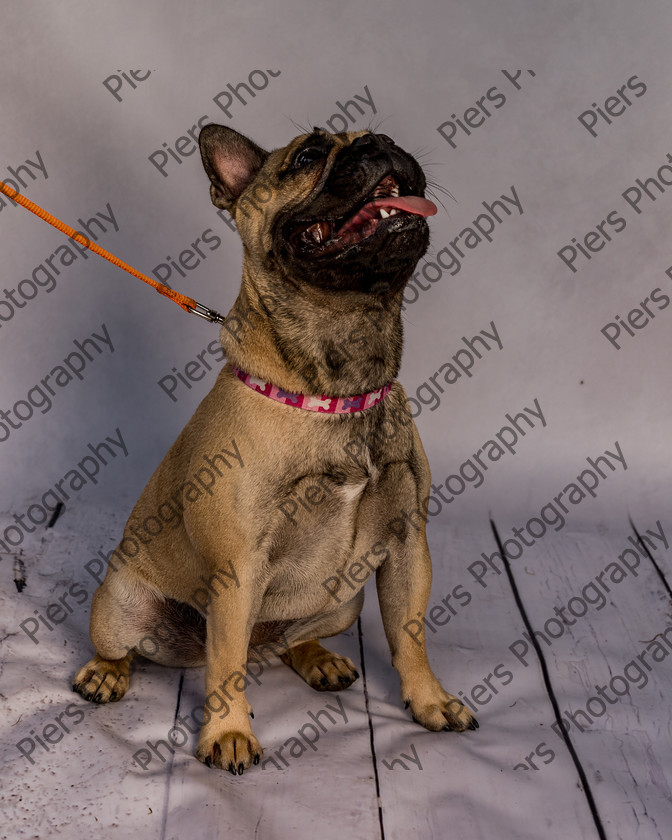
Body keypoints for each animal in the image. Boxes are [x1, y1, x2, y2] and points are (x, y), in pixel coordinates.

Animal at [72, 123, 478, 776]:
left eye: (379, 134)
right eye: (308, 156)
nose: (379, 143)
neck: (339, 378)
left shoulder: (408, 545)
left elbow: (410, 635)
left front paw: (429, 700)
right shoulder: (237, 569)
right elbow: (227, 666)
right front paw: (228, 734)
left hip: (343, 602)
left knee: (289, 639)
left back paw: (317, 657)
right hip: (120, 602)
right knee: (148, 649)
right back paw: (106, 674)